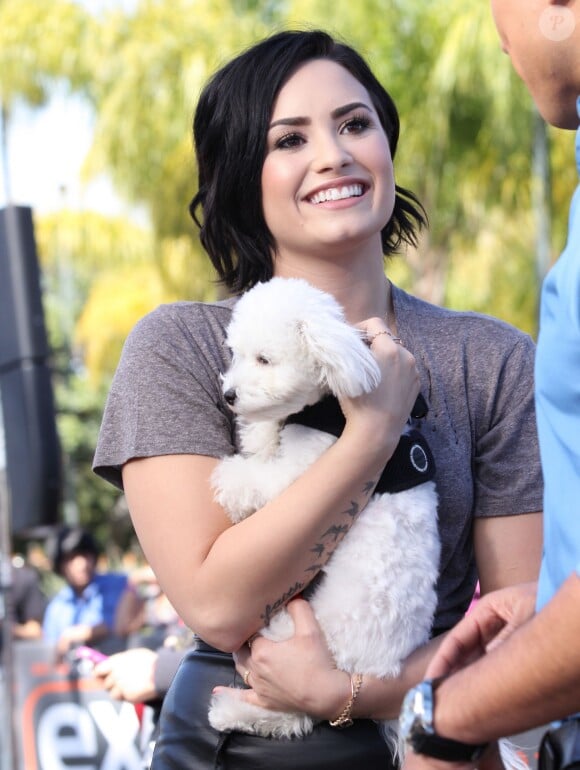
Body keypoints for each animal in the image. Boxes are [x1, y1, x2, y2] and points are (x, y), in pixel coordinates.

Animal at [208, 276, 440, 744]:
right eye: (236, 353)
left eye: (264, 359)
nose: (229, 395)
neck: (326, 405)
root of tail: (379, 666)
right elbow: (270, 432)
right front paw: (258, 432)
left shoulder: (307, 467)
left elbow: (264, 479)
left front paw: (230, 479)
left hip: (295, 639)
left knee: (293, 713)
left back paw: (229, 710)